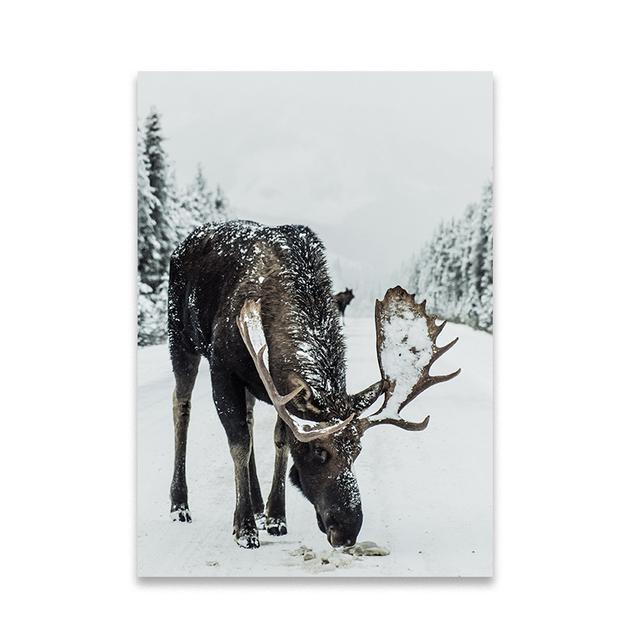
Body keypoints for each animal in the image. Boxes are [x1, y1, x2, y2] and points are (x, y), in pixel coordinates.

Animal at [167, 220, 460, 549]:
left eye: (357, 451)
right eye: (320, 452)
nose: (347, 530)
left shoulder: (277, 388)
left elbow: (280, 441)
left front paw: (275, 516)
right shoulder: (222, 367)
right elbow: (239, 443)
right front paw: (244, 529)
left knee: (250, 418)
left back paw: (256, 504)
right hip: (181, 338)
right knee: (182, 406)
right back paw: (180, 505)